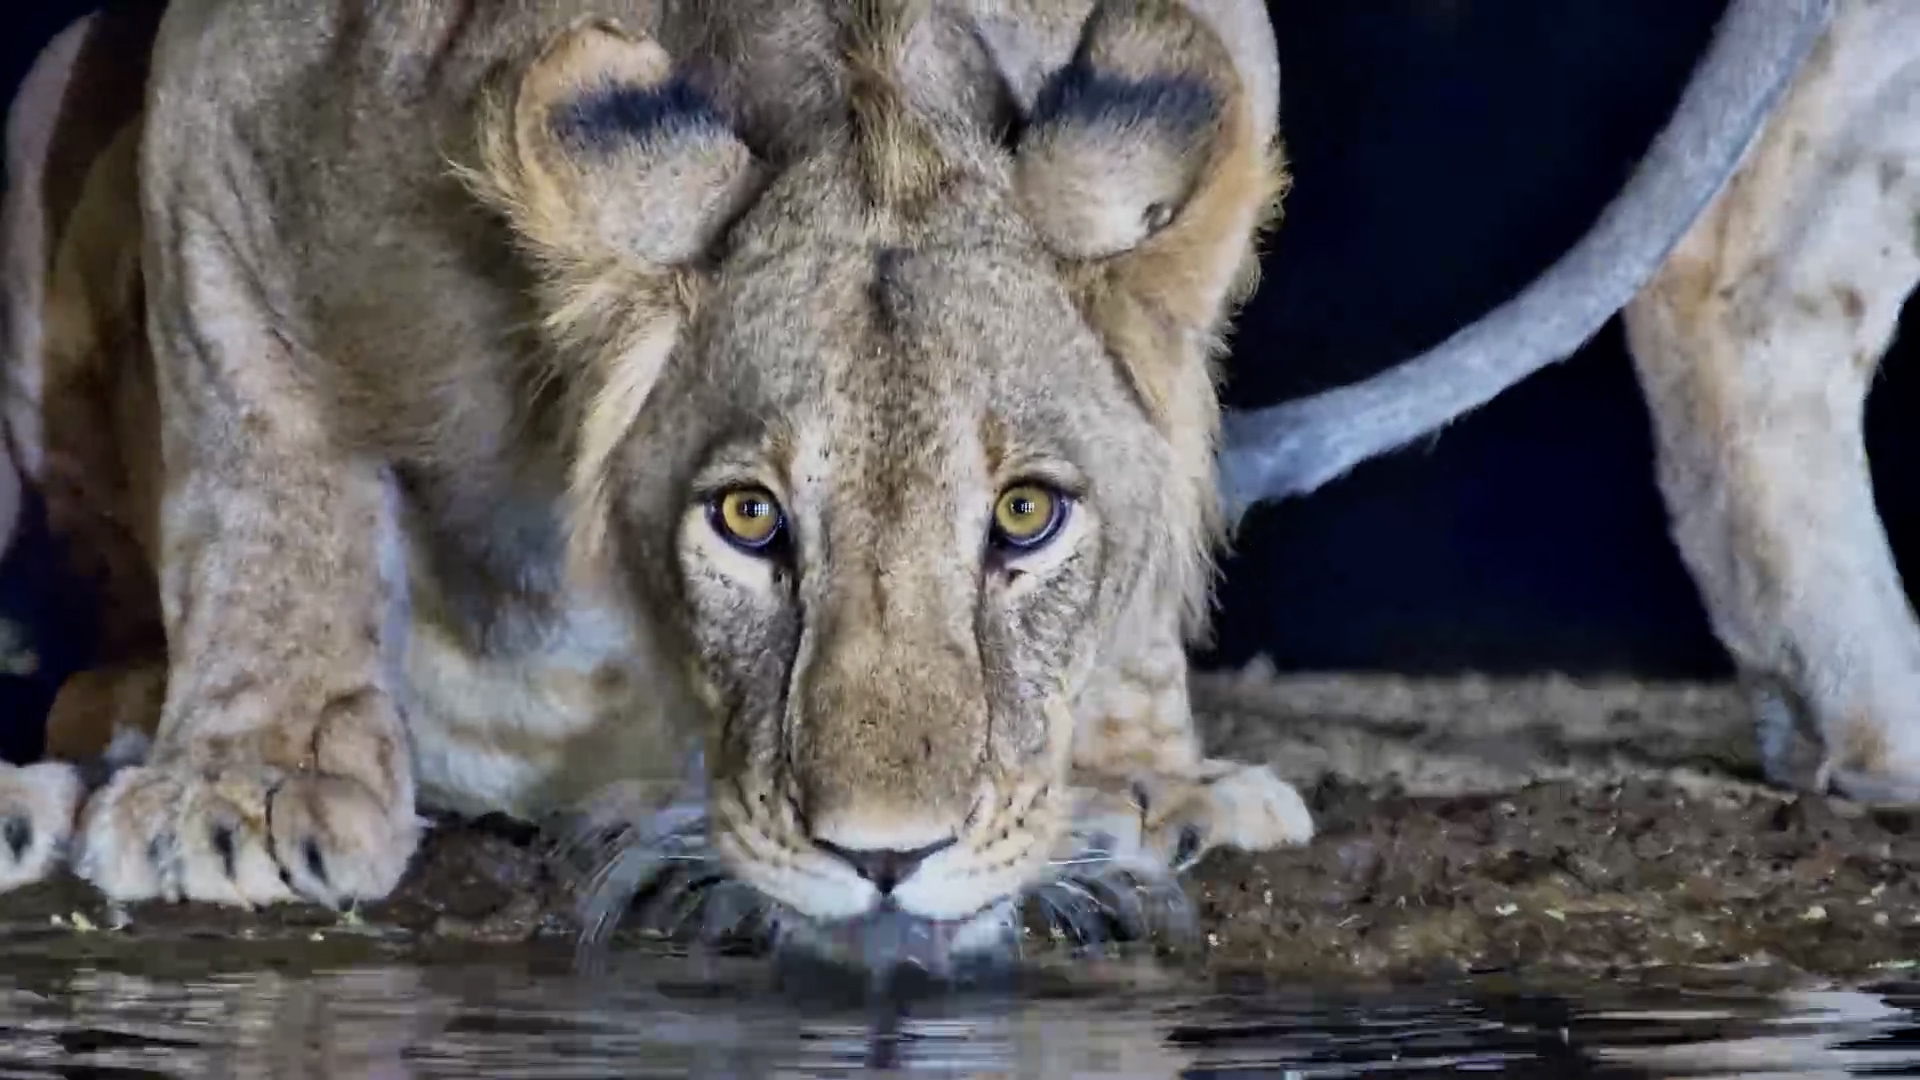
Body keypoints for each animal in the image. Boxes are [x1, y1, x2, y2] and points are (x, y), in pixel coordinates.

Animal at [0, 0, 1315, 966]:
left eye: (1026, 515)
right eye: (749, 518)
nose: (887, 860)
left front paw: (1139, 778)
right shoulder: (234, 103)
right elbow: (259, 458)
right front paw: (247, 787)